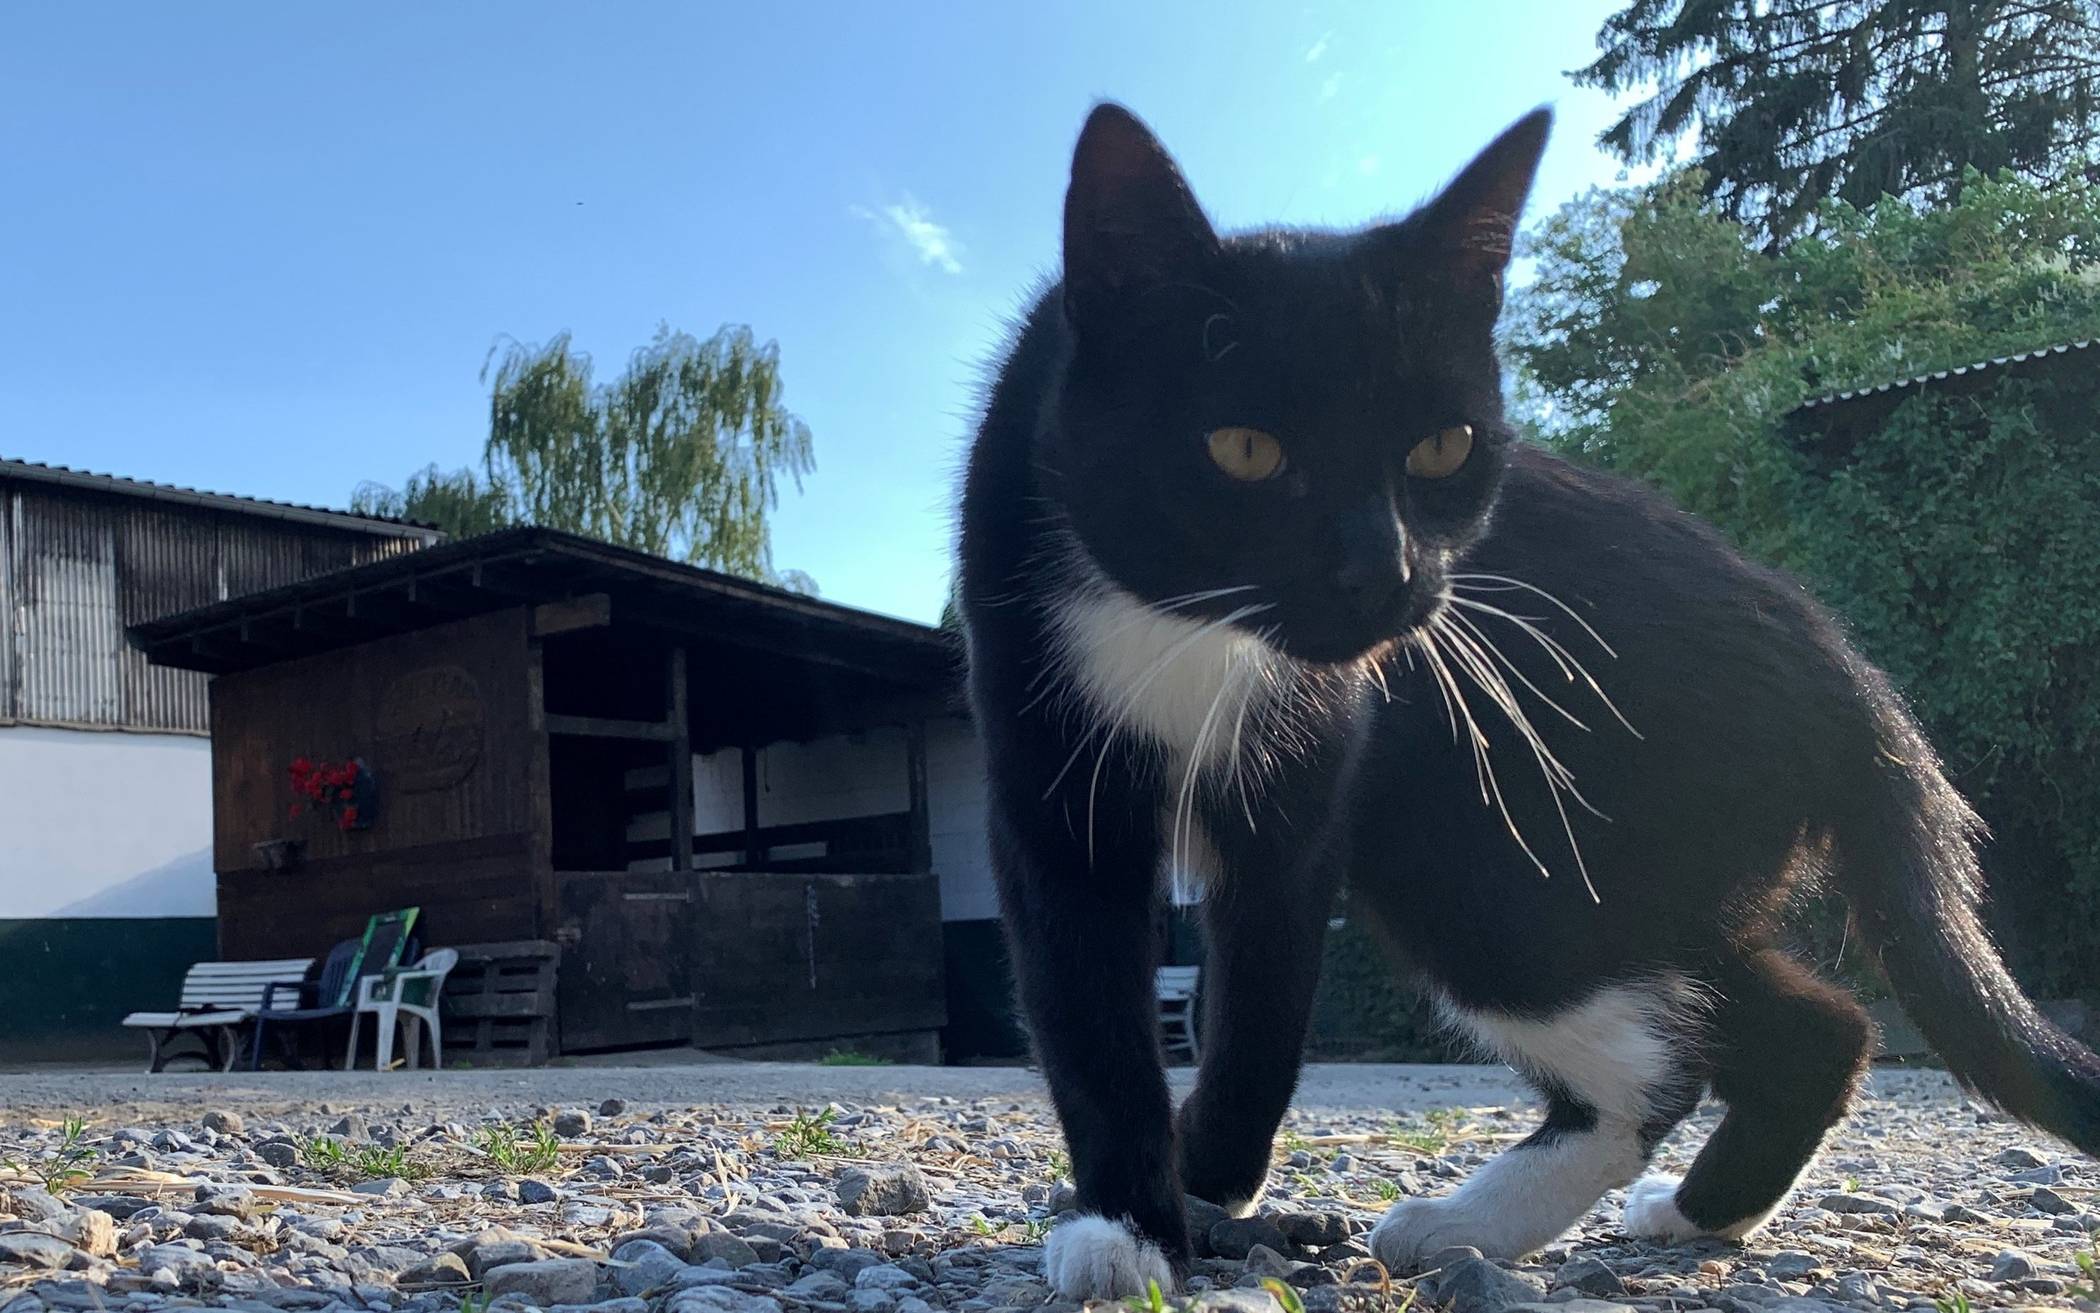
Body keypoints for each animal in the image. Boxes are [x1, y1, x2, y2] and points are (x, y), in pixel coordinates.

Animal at [961, 105, 2100, 1302]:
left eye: (1443, 446)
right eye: (1243, 448)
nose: (1386, 572)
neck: (1191, 628)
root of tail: (1851, 680)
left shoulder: (1315, 768)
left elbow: (1261, 998)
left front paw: (1201, 1183)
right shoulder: (1044, 771)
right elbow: (1089, 1010)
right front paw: (1130, 1218)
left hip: (1494, 847)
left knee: (1660, 1062)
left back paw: (1460, 1221)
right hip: (1650, 869)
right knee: (1810, 1026)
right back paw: (1695, 1212)